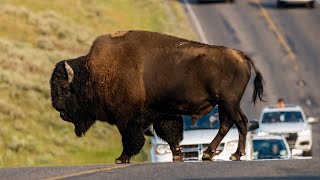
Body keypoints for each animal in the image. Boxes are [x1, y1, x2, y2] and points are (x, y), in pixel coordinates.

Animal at [50, 30, 264, 163]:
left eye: (65, 89)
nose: (59, 111)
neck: (93, 73)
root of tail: (241, 55)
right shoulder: (162, 113)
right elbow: (170, 135)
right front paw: (177, 155)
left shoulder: (126, 118)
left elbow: (130, 138)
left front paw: (121, 158)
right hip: (224, 104)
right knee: (227, 125)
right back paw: (208, 154)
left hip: (229, 102)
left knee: (241, 122)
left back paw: (235, 155)